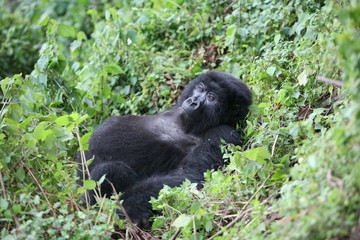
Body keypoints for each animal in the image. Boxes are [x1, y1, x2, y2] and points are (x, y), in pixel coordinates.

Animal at [79, 70, 253, 228]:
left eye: (211, 98)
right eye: (201, 89)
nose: (194, 101)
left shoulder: (223, 134)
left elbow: (189, 175)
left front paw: (130, 205)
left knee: (112, 170)